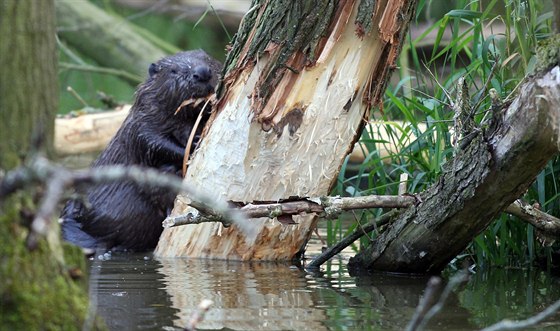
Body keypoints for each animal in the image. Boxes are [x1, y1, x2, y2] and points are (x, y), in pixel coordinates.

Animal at [59, 48, 221, 252]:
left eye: (208, 59)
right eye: (174, 71)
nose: (202, 72)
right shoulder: (142, 122)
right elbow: (154, 143)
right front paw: (191, 146)